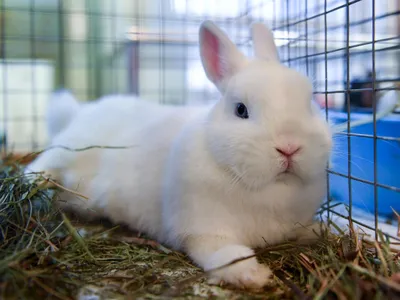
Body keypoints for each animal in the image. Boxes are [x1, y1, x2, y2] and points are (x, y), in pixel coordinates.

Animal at [25, 21, 332, 288]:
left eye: (308, 103)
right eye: (241, 110)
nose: (290, 147)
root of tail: (77, 113)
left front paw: (319, 230)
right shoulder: (202, 232)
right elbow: (226, 254)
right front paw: (252, 275)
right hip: (64, 152)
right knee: (35, 168)